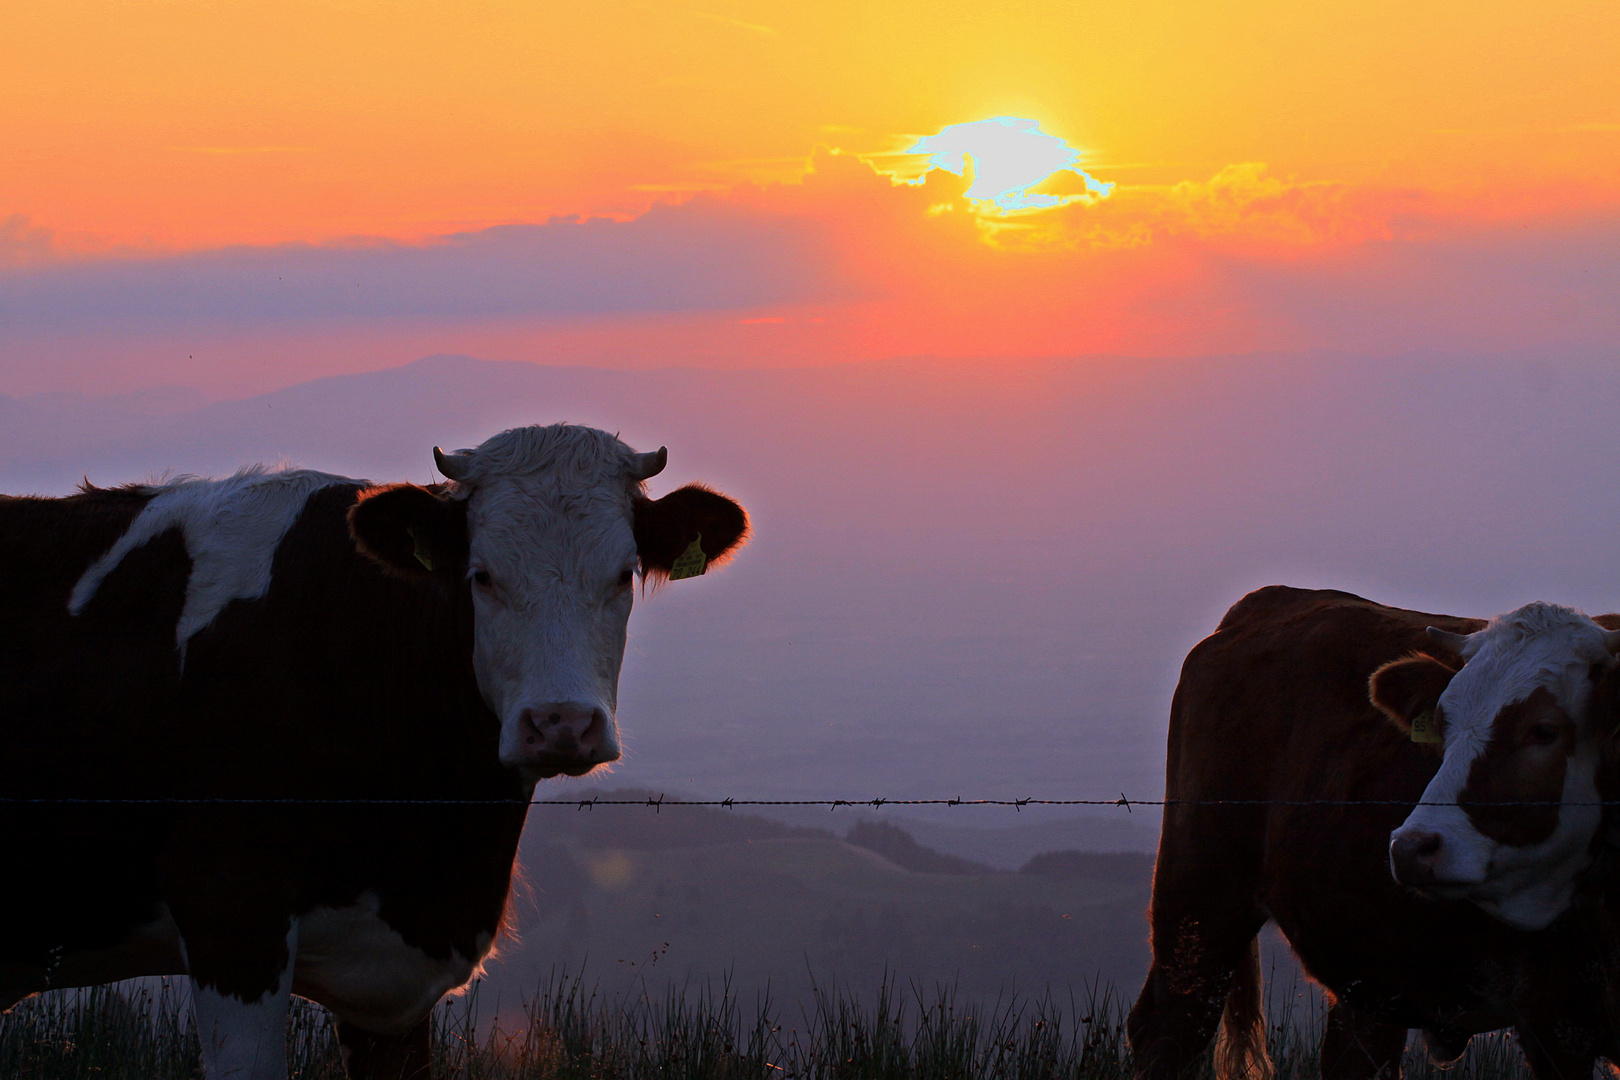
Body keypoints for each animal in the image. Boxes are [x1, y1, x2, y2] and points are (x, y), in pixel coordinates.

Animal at [1127, 586, 1620, 1080]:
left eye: (1544, 730)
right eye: (1442, 726)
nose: (1412, 848)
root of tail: (1269, 600)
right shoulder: (1552, 1018)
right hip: (1199, 906)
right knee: (1165, 1030)